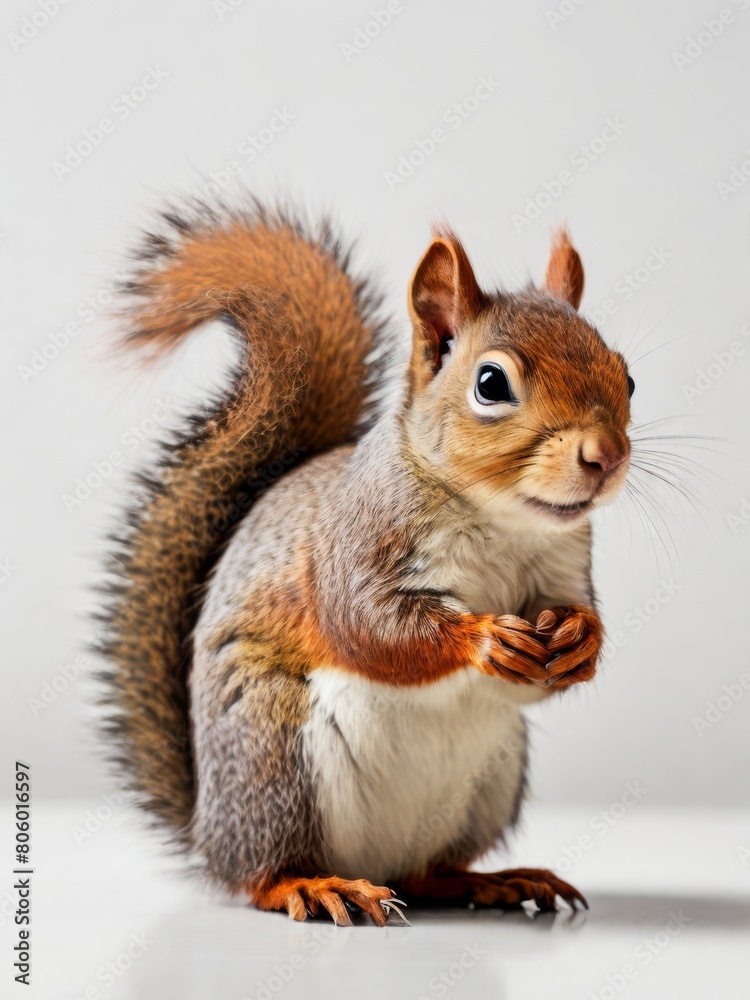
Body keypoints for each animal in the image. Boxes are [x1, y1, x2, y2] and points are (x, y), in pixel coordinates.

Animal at [99, 196, 633, 925]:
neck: (501, 521)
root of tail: (209, 827)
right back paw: (312, 886)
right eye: (491, 384)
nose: (606, 456)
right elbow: (368, 626)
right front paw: (482, 638)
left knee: (428, 872)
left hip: (489, 781)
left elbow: (563, 643)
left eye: (626, 374)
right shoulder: (360, 542)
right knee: (262, 872)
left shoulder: (564, 564)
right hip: (276, 759)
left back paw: (493, 880)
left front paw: (581, 639)